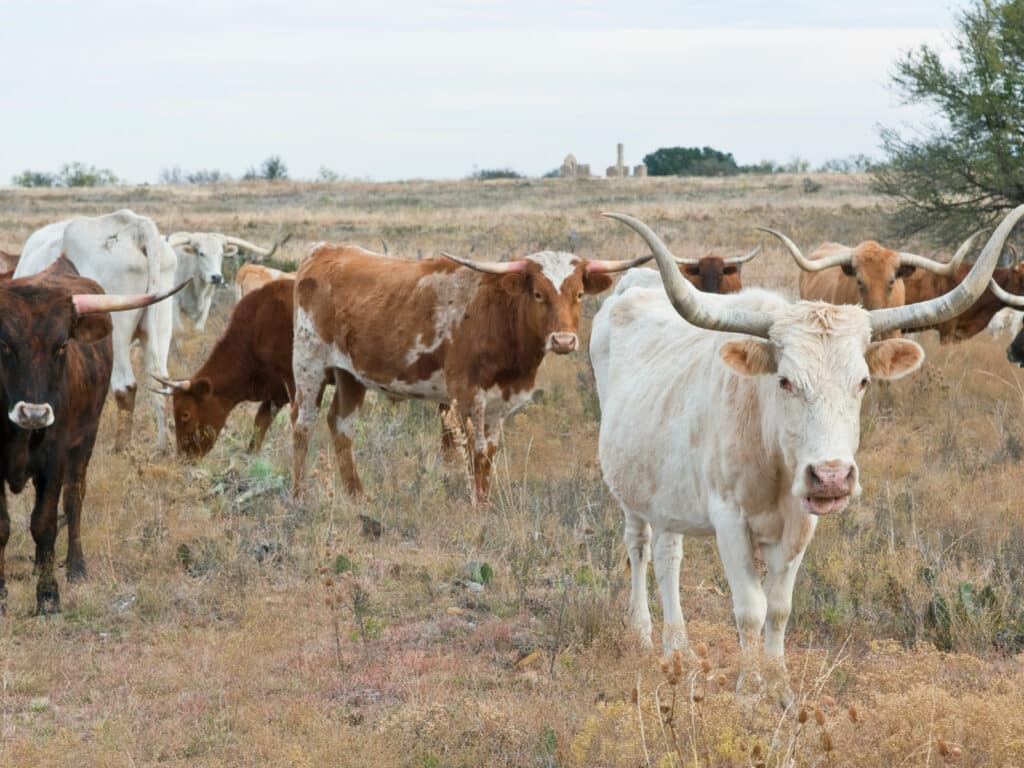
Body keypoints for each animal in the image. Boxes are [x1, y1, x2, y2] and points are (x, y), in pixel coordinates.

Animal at [0, 262, 182, 618]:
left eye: (61, 346)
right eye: (4, 345)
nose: (34, 413)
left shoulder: (55, 459)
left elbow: (44, 523)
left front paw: (48, 597)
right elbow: (2, 526)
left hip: (85, 441)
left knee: (74, 498)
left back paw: (75, 567)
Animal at [15, 208, 178, 450]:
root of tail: (135, 225)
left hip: (116, 332)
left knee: (125, 386)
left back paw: (120, 449)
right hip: (159, 329)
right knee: (160, 382)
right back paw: (162, 447)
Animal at [292, 243, 651, 501]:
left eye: (578, 295)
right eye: (538, 294)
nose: (563, 340)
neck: (499, 314)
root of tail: (322, 251)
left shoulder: (499, 403)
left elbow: (489, 453)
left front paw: (486, 503)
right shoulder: (468, 397)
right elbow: (476, 453)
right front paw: (477, 507)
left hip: (351, 375)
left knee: (341, 425)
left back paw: (357, 496)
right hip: (309, 367)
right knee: (302, 425)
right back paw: (299, 495)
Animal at [593, 205, 1024, 708]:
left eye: (862, 381)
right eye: (784, 380)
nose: (832, 477)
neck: (774, 454)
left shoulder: (802, 524)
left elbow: (779, 609)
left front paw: (780, 690)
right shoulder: (729, 521)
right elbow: (750, 610)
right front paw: (749, 693)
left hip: (667, 490)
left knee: (668, 554)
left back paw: (676, 646)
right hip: (630, 490)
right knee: (640, 547)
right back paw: (645, 635)